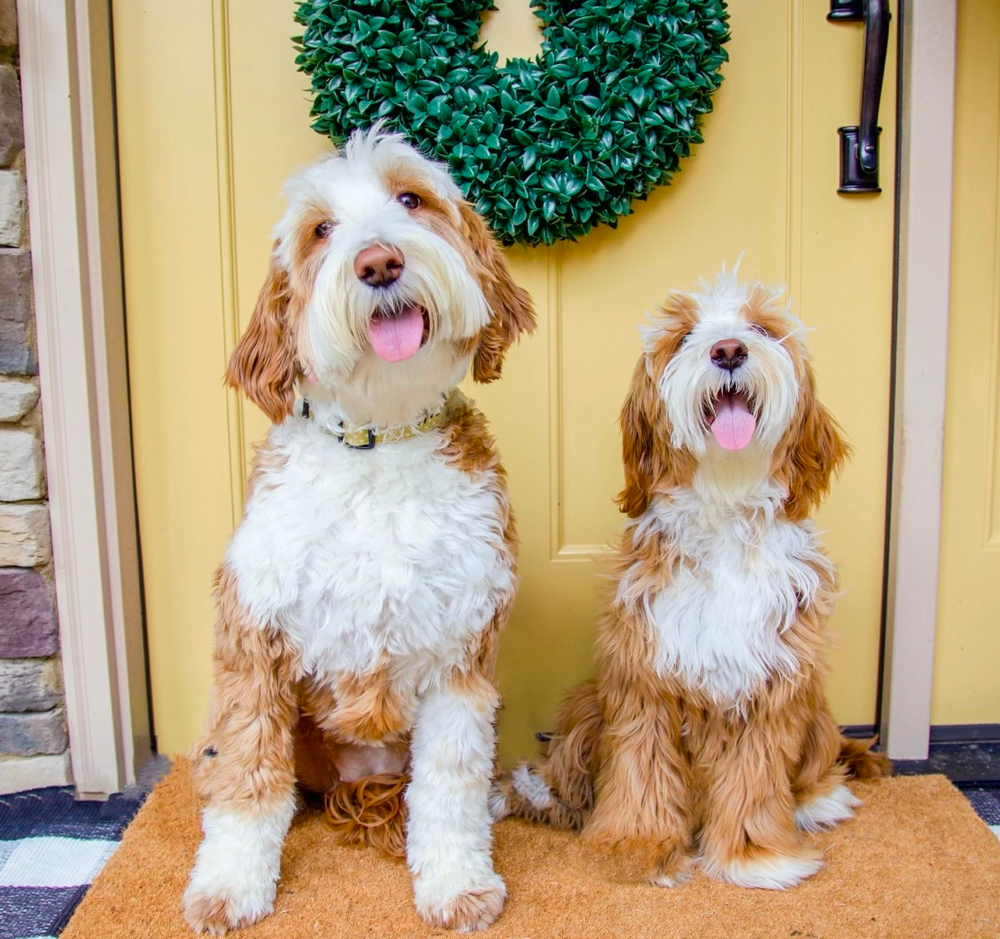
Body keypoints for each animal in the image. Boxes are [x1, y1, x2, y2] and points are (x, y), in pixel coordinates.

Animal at [183, 130, 536, 932]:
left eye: (412, 198)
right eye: (320, 230)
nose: (379, 263)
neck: (379, 443)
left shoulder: (460, 652)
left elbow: (448, 787)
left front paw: (454, 884)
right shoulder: (253, 637)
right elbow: (248, 779)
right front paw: (231, 886)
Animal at [496, 270, 888, 888]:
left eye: (761, 328)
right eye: (683, 337)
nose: (728, 350)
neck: (724, 508)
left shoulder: (773, 679)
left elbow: (754, 776)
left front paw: (754, 855)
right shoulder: (643, 670)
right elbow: (641, 768)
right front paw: (635, 847)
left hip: (815, 706)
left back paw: (818, 801)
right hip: (587, 699)